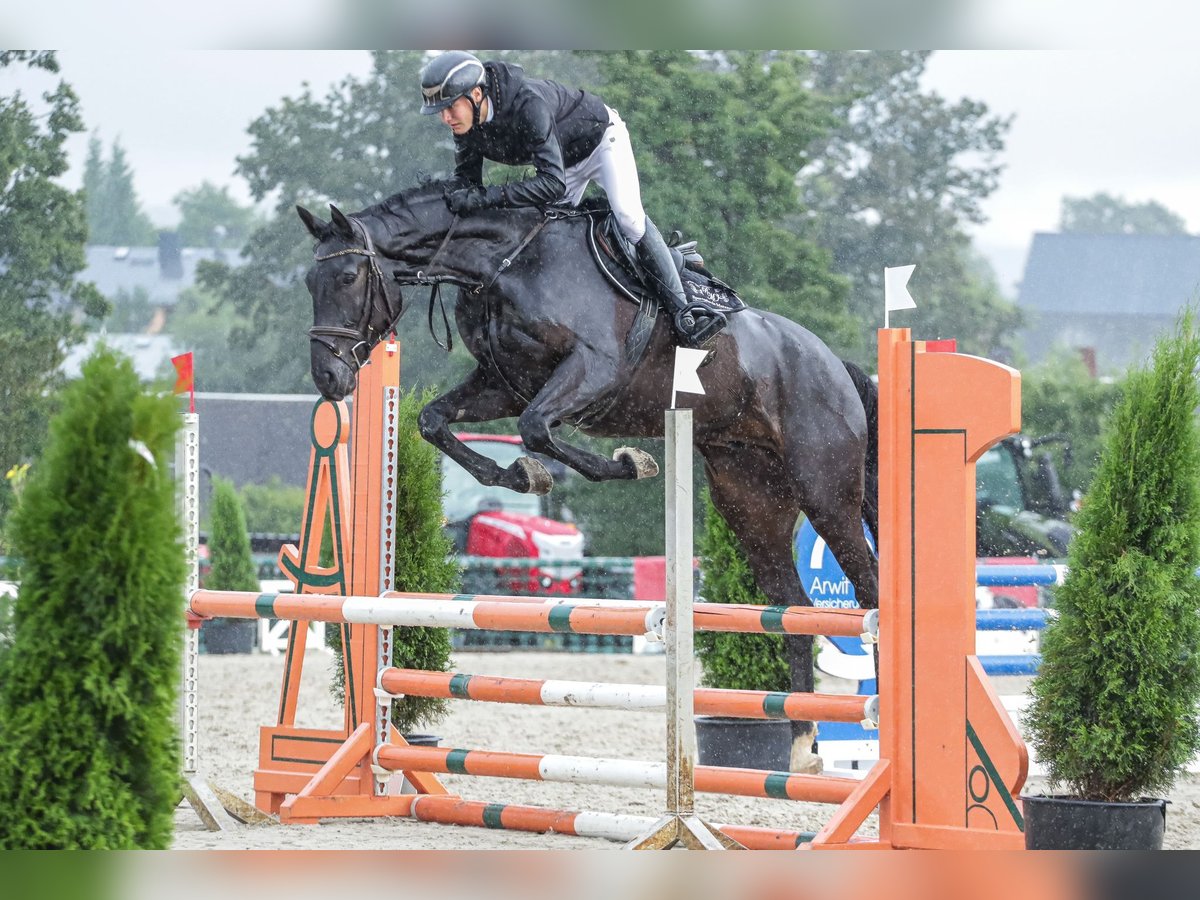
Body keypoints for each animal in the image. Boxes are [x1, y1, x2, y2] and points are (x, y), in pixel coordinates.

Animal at [297, 181, 883, 777]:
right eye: (309, 283)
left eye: (347, 278)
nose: (329, 378)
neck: (504, 263)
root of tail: (833, 363)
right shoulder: (506, 384)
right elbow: (436, 421)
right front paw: (519, 474)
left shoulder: (591, 369)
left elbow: (536, 428)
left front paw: (628, 463)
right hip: (750, 503)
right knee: (793, 609)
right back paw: (802, 746)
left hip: (825, 493)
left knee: (869, 591)